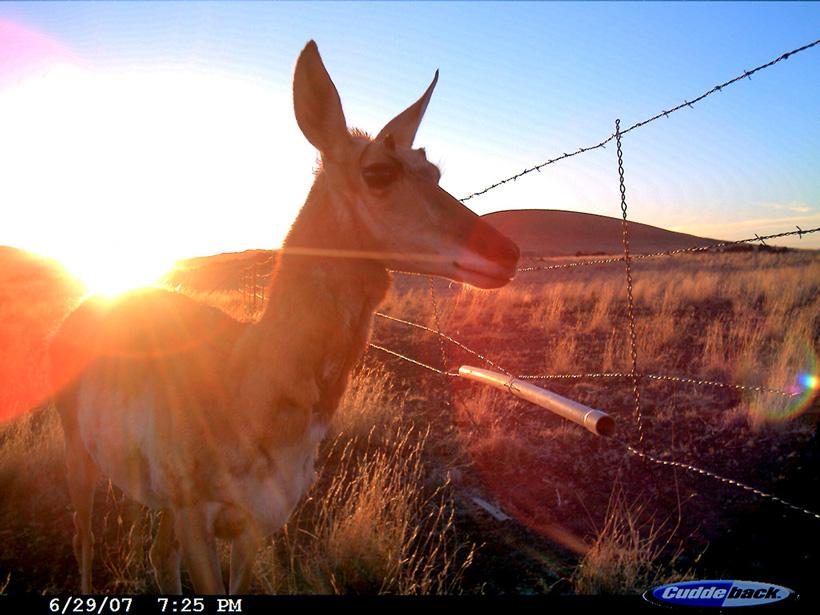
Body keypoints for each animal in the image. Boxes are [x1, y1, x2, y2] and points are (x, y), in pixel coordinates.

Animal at [49, 40, 519, 594]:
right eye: (378, 172)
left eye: (434, 171)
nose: (508, 252)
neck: (243, 377)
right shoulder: (198, 519)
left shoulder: (255, 526)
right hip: (79, 458)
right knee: (83, 537)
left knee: (158, 555)